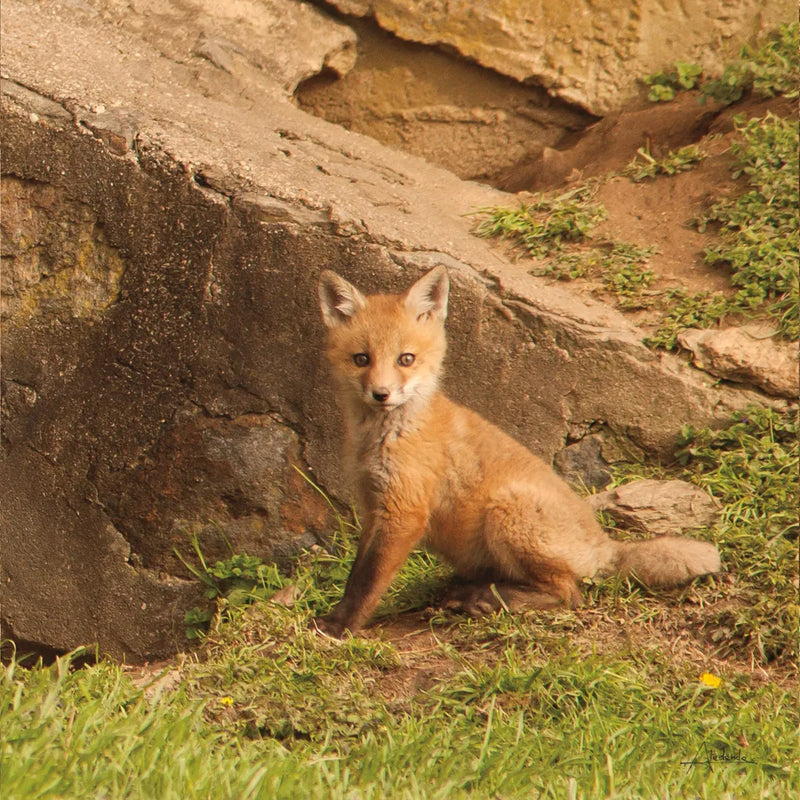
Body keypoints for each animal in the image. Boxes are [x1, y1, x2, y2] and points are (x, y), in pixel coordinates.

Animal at [316, 266, 721, 637]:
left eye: (406, 359)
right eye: (362, 359)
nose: (381, 394)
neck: (385, 437)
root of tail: (603, 544)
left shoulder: (404, 513)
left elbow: (368, 581)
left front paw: (339, 628)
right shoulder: (374, 507)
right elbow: (356, 574)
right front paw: (338, 619)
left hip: (506, 511)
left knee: (570, 594)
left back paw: (490, 600)